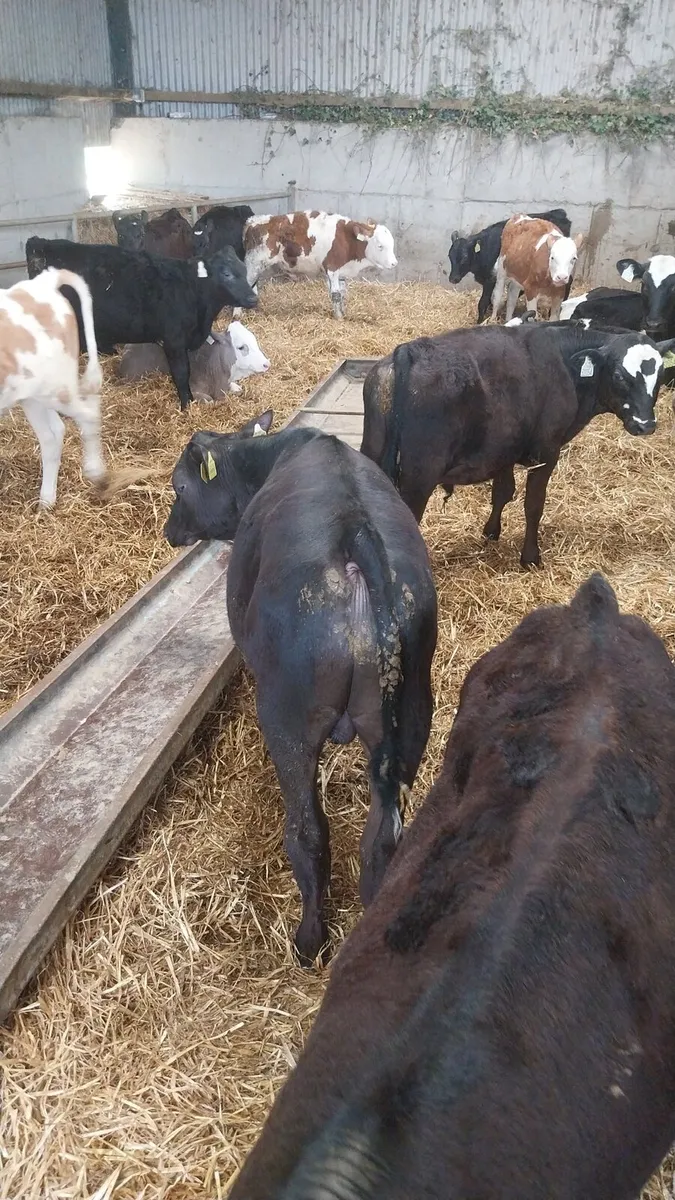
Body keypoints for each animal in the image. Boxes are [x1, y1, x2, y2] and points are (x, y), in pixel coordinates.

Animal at [1, 268, 105, 507]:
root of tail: (43, 281)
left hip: (56, 388)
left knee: (88, 415)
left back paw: (94, 471)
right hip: (32, 396)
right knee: (54, 432)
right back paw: (47, 499)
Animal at [164, 414, 437, 965]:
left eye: (180, 487)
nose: (168, 530)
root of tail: (356, 537)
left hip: (287, 721)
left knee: (308, 831)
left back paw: (308, 940)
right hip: (415, 713)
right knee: (382, 840)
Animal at [243, 211, 398, 318]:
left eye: (392, 244)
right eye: (380, 246)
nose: (394, 263)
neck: (347, 239)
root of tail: (253, 221)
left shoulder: (341, 272)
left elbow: (342, 293)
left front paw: (343, 314)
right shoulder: (333, 268)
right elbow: (336, 294)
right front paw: (339, 318)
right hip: (254, 262)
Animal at [361, 322, 674, 567]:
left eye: (660, 376)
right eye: (620, 375)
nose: (645, 424)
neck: (564, 363)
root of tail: (409, 351)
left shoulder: (503, 450)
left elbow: (502, 493)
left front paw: (491, 532)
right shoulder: (547, 452)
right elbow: (533, 505)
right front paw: (530, 557)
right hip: (418, 478)